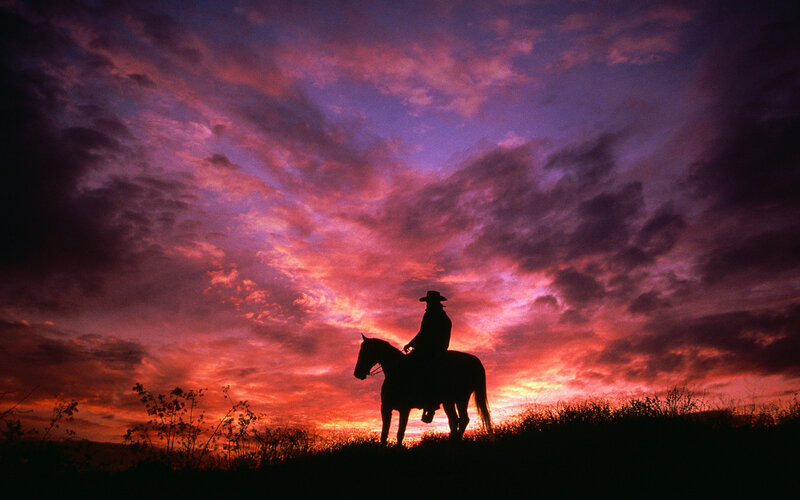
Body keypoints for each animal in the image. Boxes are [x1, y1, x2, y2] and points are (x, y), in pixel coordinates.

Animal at [354, 334, 491, 445]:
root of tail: (475, 361)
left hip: (456, 400)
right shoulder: (386, 407)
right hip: (454, 401)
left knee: (458, 420)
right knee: (457, 421)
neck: (397, 371)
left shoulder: (404, 409)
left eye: (365, 352)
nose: (357, 373)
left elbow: (400, 433)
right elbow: (384, 434)